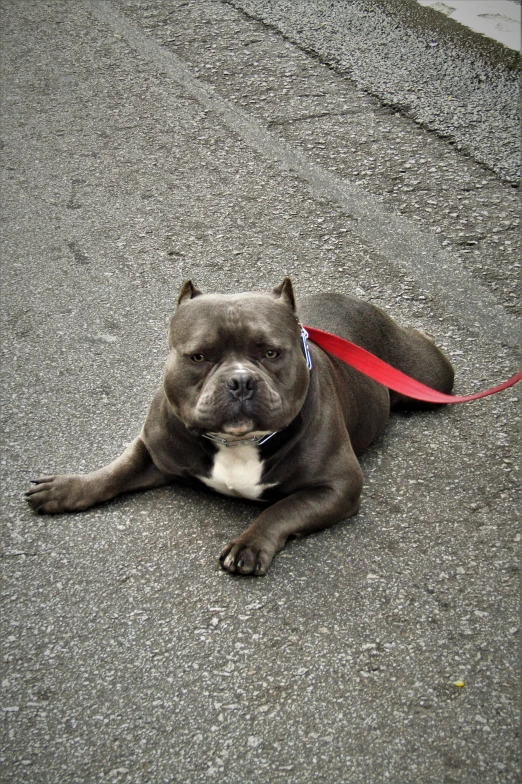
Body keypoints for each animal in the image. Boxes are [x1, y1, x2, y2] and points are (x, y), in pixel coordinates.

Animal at [26, 278, 452, 572]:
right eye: (199, 356)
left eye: (271, 353)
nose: (241, 380)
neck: (237, 443)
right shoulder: (154, 447)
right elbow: (115, 470)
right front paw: (67, 488)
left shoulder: (339, 485)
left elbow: (283, 508)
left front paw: (250, 544)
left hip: (429, 378)